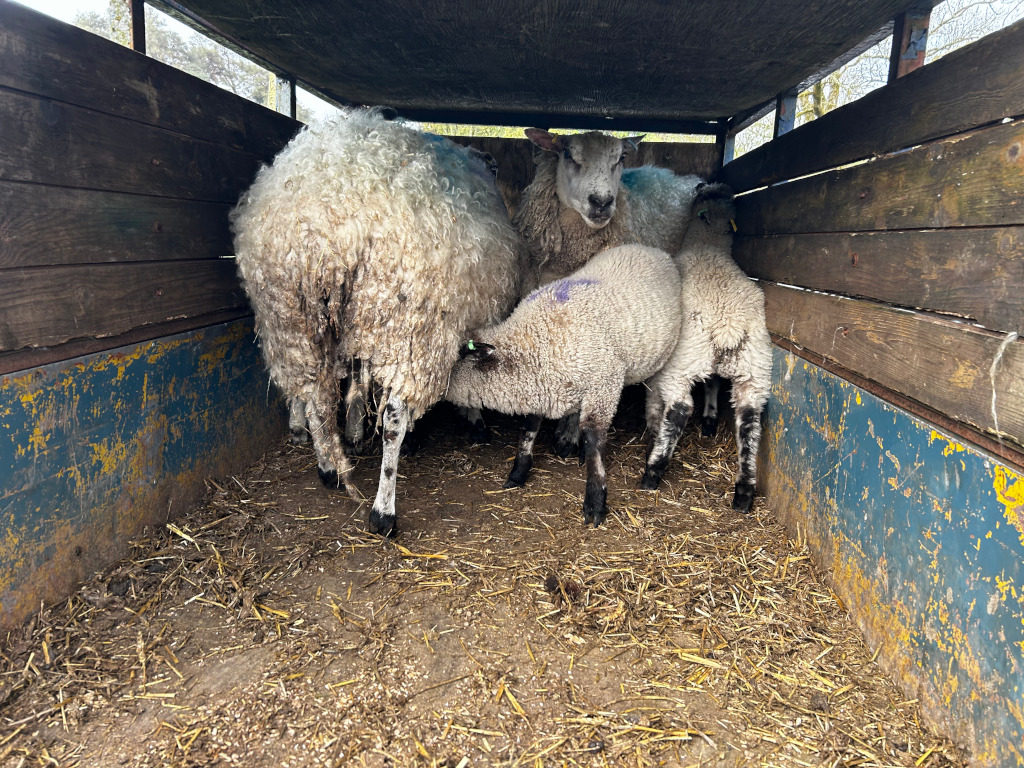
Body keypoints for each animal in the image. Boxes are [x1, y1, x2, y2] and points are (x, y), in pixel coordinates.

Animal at [231, 109, 525, 537]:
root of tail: (324, 225)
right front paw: (472, 424)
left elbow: (356, 382)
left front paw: (354, 432)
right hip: (409, 324)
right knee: (393, 418)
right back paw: (383, 511)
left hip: (290, 317)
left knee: (315, 394)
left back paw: (328, 467)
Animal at [446, 243, 683, 527]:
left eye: (457, 356)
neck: (536, 339)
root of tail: (648, 248)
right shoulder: (541, 385)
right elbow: (529, 428)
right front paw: (518, 473)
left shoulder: (604, 384)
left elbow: (594, 440)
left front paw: (595, 503)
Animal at [641, 183, 773, 513]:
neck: (708, 244)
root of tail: (728, 325)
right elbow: (712, 382)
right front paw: (711, 419)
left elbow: (655, 398)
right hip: (754, 368)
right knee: (749, 419)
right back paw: (743, 491)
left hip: (685, 360)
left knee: (680, 408)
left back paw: (653, 470)